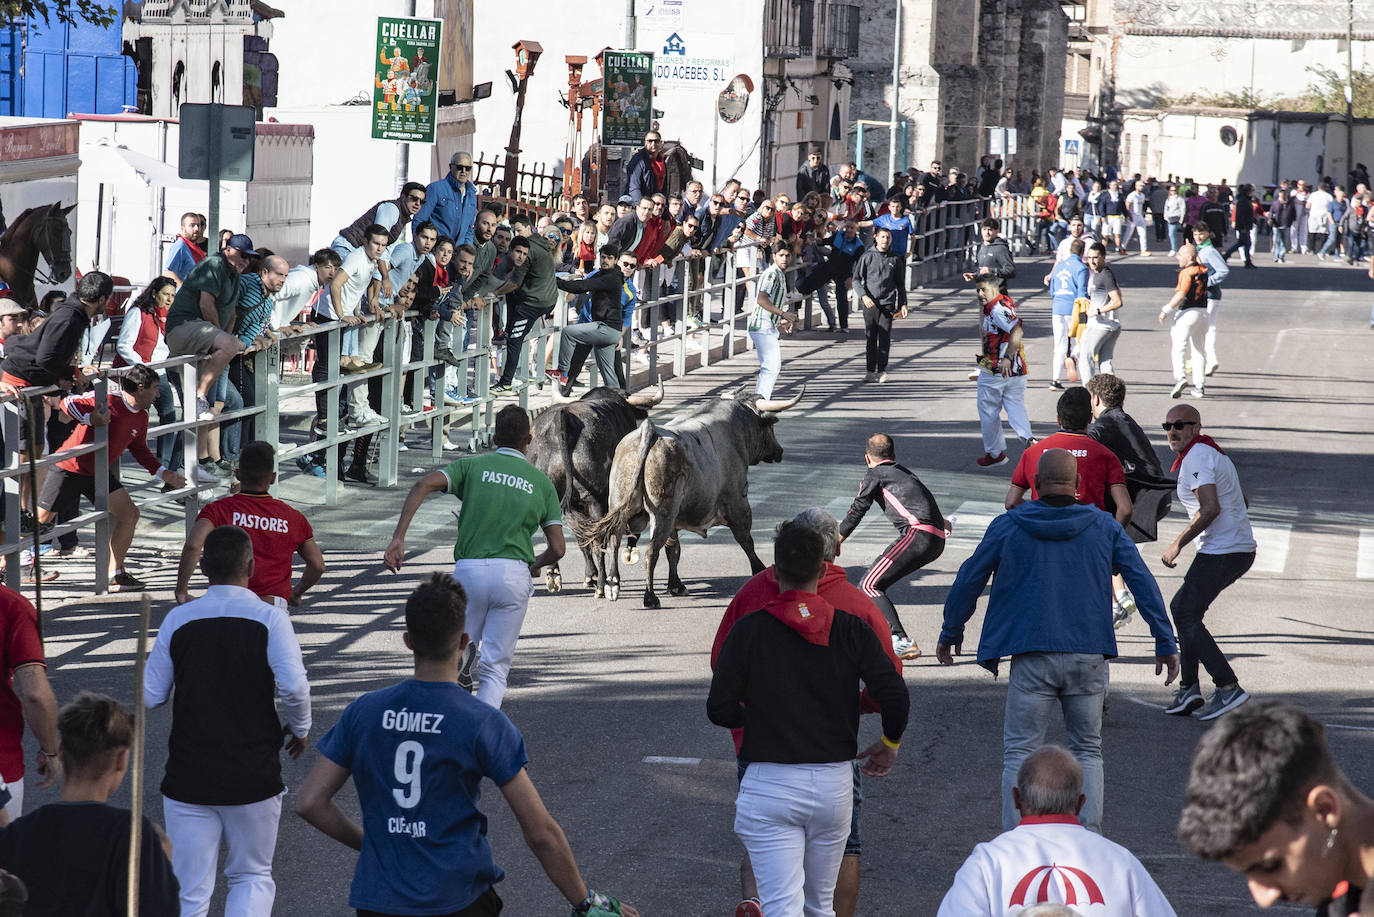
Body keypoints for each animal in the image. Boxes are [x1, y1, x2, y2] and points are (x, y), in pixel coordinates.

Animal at [524, 384, 665, 596]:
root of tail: (563, 418)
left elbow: (582, 540)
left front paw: (589, 575)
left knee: (563, 537)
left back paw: (555, 575)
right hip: (594, 501)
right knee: (599, 540)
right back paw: (601, 584)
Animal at [582, 384, 802, 610]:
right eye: (769, 427)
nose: (779, 451)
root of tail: (648, 431)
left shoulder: (676, 520)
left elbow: (673, 550)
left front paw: (676, 585)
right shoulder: (737, 502)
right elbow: (745, 539)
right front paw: (759, 570)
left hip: (622, 505)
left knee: (614, 542)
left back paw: (612, 585)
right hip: (662, 513)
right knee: (651, 551)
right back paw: (650, 597)